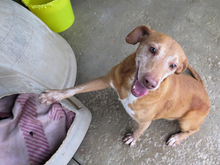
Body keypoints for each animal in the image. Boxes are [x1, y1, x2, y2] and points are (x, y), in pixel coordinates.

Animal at [39, 25, 210, 147]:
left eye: (173, 65)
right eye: (152, 49)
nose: (150, 83)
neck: (128, 87)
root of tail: (204, 90)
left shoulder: (145, 122)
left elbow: (138, 131)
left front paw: (133, 138)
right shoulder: (104, 80)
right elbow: (75, 89)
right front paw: (54, 95)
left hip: (186, 121)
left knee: (194, 130)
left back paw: (177, 138)